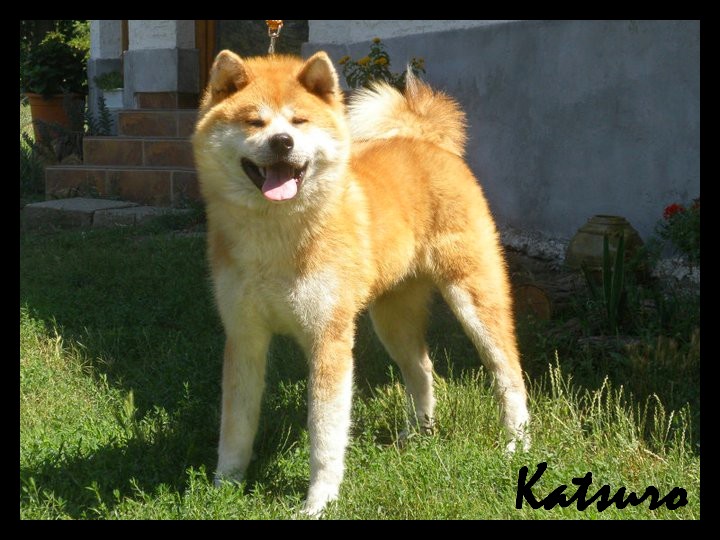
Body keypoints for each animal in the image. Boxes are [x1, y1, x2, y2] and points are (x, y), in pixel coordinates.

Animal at [192, 49, 530, 516]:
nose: (282, 142)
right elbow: (236, 425)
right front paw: (224, 486)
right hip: (392, 317)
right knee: (422, 369)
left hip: (473, 299)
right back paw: (418, 434)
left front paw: (318, 502)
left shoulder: (328, 338)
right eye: (254, 122)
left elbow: (325, 434)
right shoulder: (244, 336)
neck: (275, 239)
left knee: (508, 371)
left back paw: (517, 442)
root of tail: (425, 140)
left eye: (299, 121)